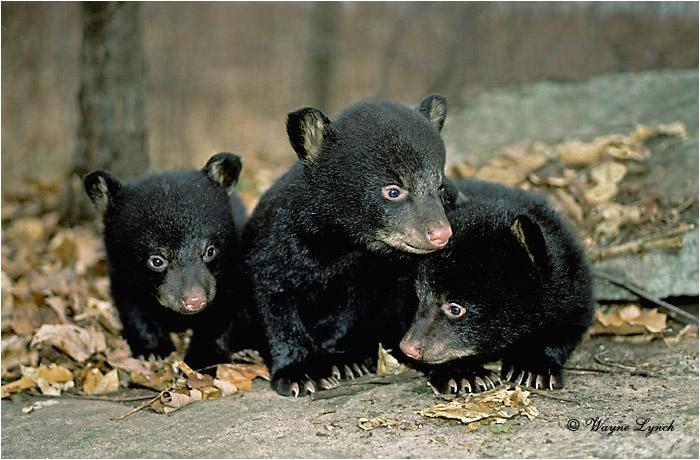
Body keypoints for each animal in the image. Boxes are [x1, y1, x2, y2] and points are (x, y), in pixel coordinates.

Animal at [84, 152, 259, 369]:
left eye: (210, 251)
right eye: (157, 261)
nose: (195, 300)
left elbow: (227, 310)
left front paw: (203, 357)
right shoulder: (120, 271)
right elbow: (132, 307)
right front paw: (153, 350)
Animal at [241, 94, 454, 397]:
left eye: (439, 186)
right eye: (393, 191)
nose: (440, 233)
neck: (347, 245)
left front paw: (343, 360)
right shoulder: (281, 244)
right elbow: (274, 298)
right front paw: (301, 373)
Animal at [400, 180, 595, 393]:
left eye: (455, 309)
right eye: (418, 295)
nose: (409, 347)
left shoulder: (571, 284)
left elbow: (569, 324)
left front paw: (532, 367)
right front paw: (464, 374)